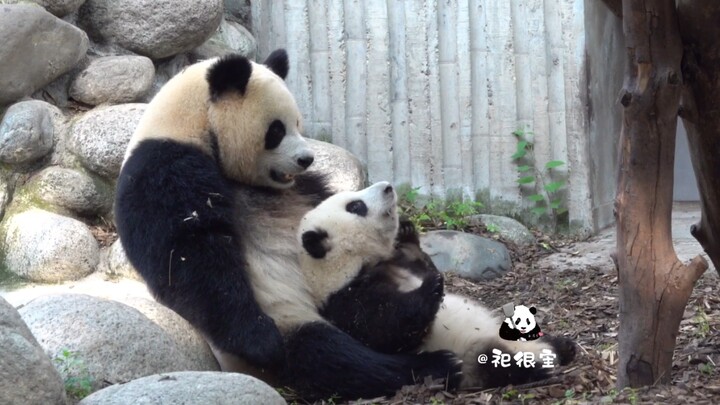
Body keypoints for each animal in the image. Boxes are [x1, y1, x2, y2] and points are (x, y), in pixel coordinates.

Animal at [114, 49, 458, 398]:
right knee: (329, 355)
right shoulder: (162, 169)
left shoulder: (304, 187)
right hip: (289, 315)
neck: (189, 127)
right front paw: (260, 340)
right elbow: (189, 256)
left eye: (298, 123)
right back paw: (432, 366)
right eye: (276, 131)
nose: (306, 158)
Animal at [296, 181, 572, 386]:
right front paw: (431, 287)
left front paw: (407, 233)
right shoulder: (346, 298)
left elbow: (419, 261)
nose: (388, 187)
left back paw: (563, 346)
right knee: (491, 363)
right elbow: (386, 328)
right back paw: (536, 367)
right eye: (356, 206)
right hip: (472, 353)